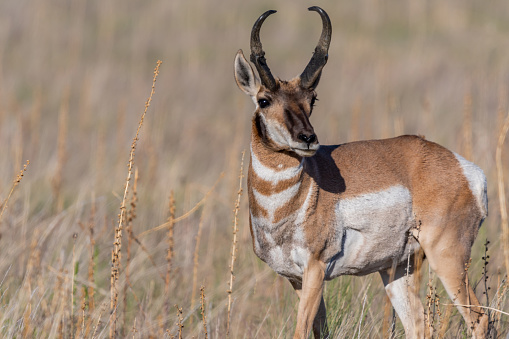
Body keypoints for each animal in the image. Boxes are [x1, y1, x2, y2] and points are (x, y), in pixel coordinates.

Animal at [233, 5, 488, 339]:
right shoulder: (296, 278)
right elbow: (319, 330)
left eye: (312, 99)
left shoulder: (315, 269)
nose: (308, 138)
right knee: (419, 324)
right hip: (397, 271)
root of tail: (463, 168)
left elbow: (301, 331)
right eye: (264, 100)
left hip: (447, 257)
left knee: (479, 318)